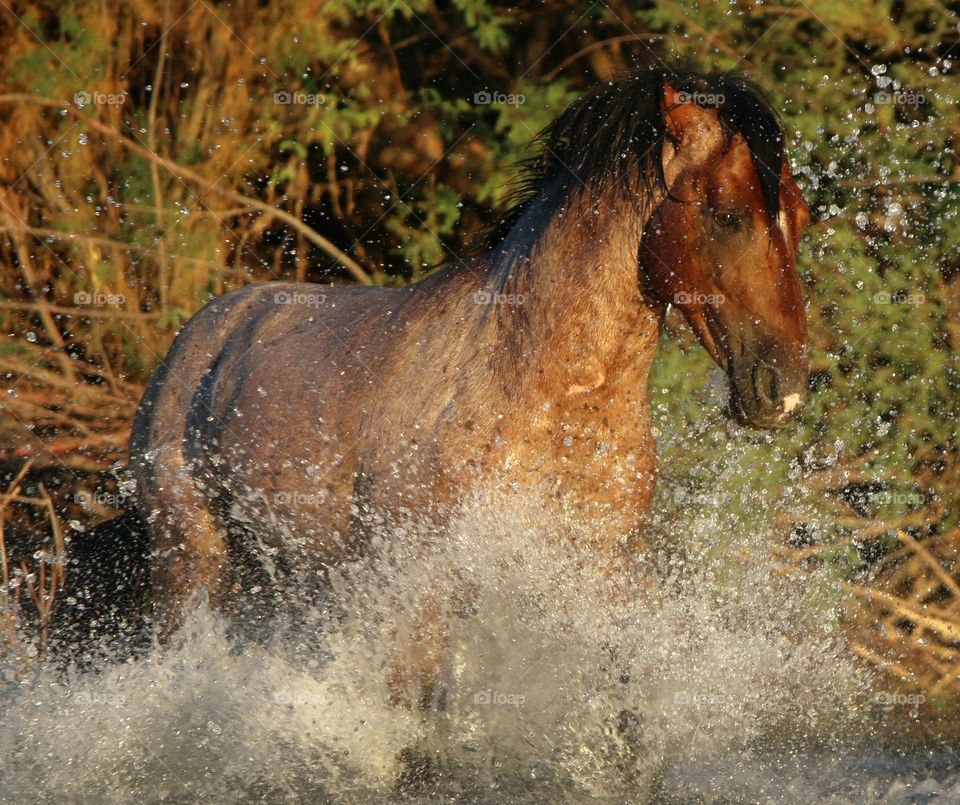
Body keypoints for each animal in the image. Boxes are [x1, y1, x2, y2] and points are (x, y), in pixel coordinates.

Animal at [128, 67, 810, 677]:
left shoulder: (600, 576)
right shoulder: (423, 596)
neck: (546, 397)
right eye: (728, 213)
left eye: (800, 217)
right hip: (188, 562)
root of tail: (202, 332)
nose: (784, 392)